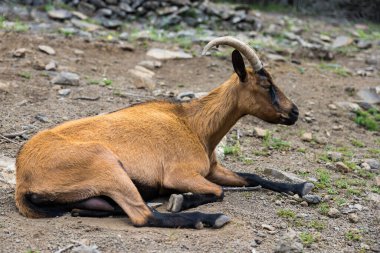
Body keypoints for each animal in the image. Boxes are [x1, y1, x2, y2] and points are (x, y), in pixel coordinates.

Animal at [14, 37, 314, 229]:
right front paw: (179, 200)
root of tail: (22, 181)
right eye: (266, 85)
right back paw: (209, 218)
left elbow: (252, 176)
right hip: (107, 166)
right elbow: (218, 191)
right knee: (142, 217)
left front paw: (302, 186)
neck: (194, 125)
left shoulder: (213, 169)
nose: (294, 112)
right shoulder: (180, 173)